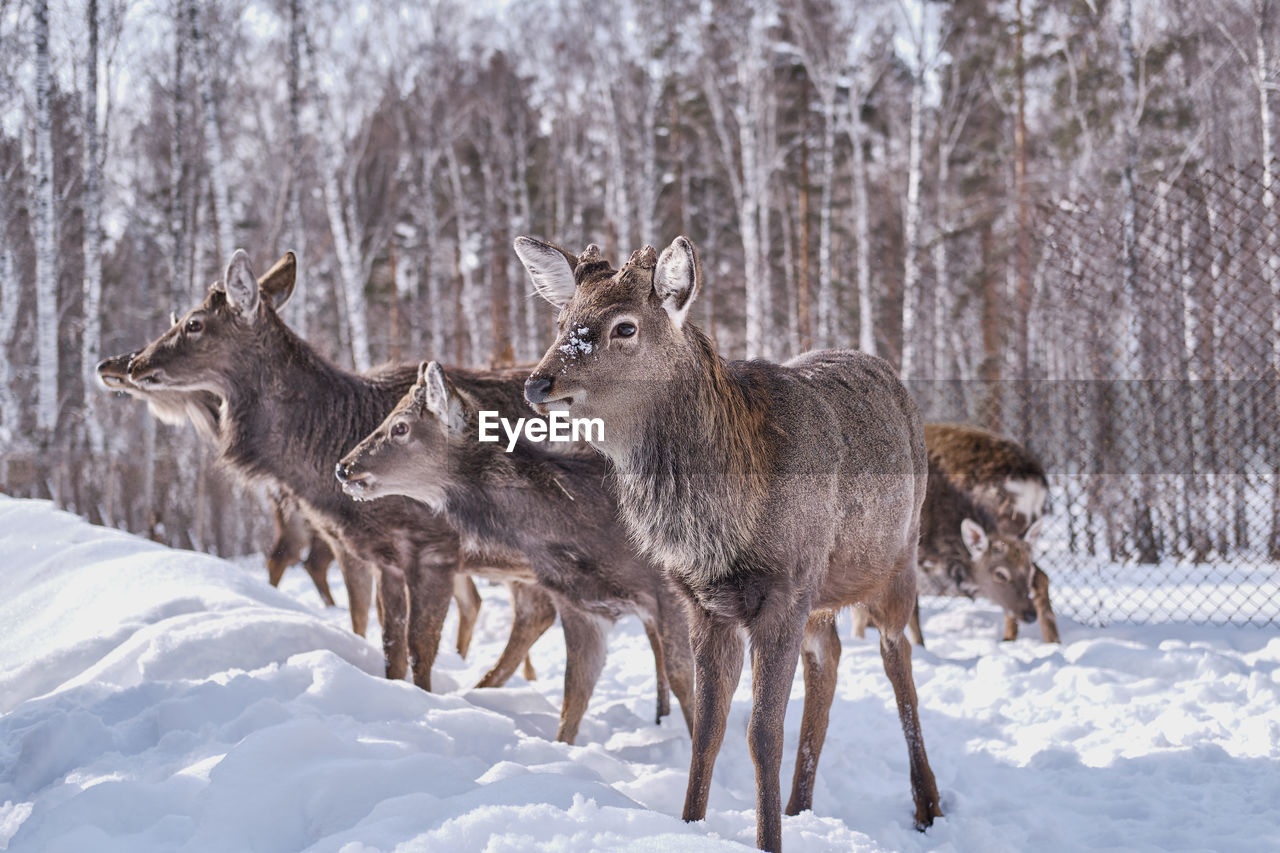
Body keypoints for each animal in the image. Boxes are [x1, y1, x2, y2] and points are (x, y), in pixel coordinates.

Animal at [120, 247, 570, 696]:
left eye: (193, 323)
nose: (133, 364)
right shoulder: (383, 555)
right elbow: (389, 646)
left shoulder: (432, 547)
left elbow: (419, 649)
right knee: (535, 612)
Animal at [330, 358, 691, 737]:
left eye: (400, 427)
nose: (344, 467)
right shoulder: (582, 606)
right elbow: (573, 700)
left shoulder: (672, 595)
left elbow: (688, 688)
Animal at [514, 234, 947, 850]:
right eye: (562, 320)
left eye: (625, 326)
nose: (539, 383)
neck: (722, 525)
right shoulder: (704, 602)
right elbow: (707, 726)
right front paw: (692, 824)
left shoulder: (784, 590)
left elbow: (762, 733)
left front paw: (767, 841)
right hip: (823, 593)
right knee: (830, 660)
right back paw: (801, 807)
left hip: (896, 560)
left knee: (897, 656)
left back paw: (926, 806)